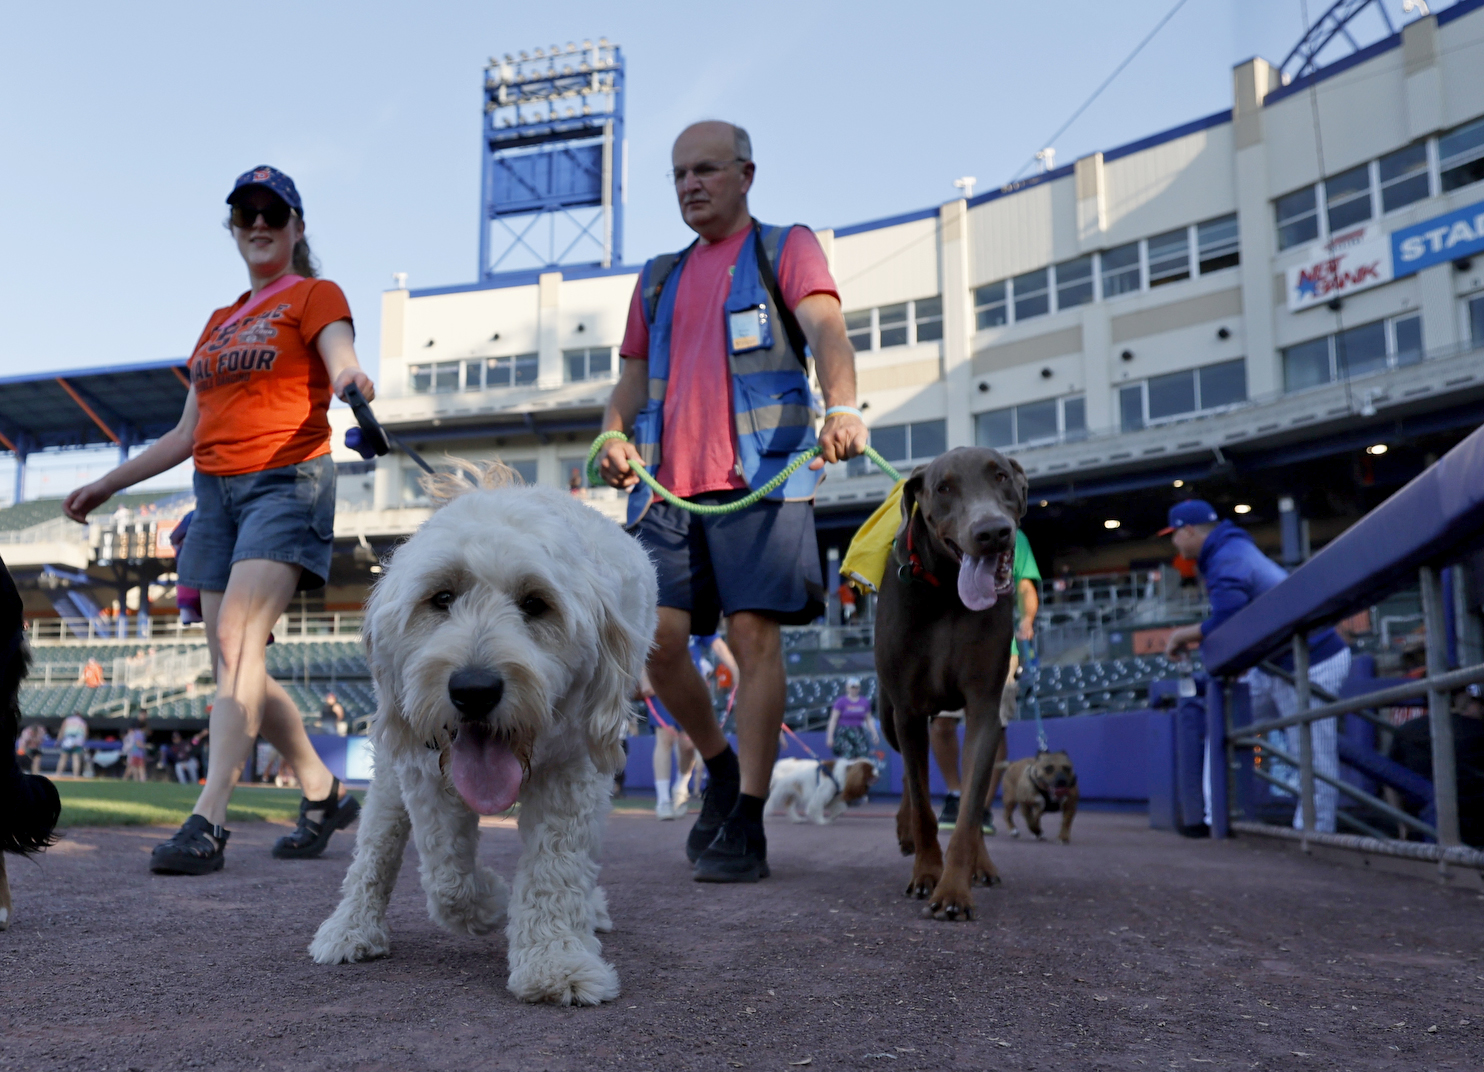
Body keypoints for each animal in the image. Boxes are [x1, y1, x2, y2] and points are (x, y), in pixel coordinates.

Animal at [311, 460, 655, 1003]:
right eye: (441, 597)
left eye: (536, 603)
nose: (474, 689)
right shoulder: (422, 771)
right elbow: (446, 878)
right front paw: (494, 899)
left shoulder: (573, 771)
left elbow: (555, 867)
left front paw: (554, 961)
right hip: (389, 770)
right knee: (375, 848)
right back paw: (351, 927)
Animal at [872, 442, 1026, 920]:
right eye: (943, 488)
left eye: (1000, 476)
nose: (992, 532)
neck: (946, 594)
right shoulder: (907, 708)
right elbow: (924, 804)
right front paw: (926, 873)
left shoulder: (985, 706)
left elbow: (970, 808)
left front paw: (954, 889)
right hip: (888, 713)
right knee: (908, 774)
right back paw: (905, 832)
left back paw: (982, 865)